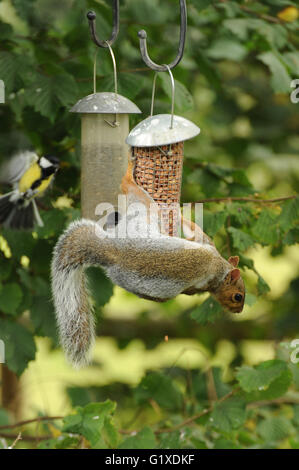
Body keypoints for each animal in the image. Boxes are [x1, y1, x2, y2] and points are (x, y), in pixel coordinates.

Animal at [51, 160, 246, 370]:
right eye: (238, 297)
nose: (239, 311)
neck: (220, 274)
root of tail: (114, 249)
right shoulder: (209, 249)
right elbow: (196, 232)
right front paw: (182, 217)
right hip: (145, 215)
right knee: (134, 191)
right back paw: (129, 172)